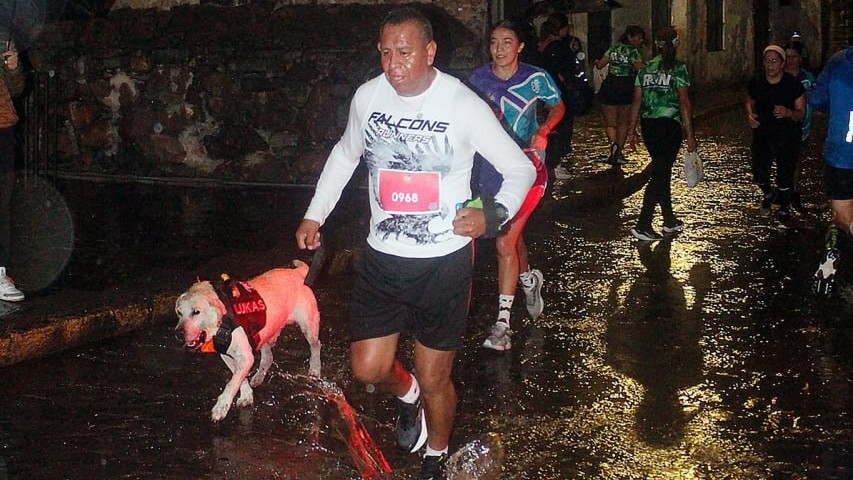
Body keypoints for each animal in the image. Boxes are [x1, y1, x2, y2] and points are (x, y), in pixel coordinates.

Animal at [175, 260, 322, 422]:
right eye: (179, 313)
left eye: (196, 312)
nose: (178, 335)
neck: (221, 320)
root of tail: (298, 273)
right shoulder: (228, 356)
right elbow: (240, 378)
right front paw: (246, 396)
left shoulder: (245, 357)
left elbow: (232, 383)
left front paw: (221, 406)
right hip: (265, 332)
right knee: (268, 357)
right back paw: (259, 376)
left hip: (308, 327)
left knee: (316, 346)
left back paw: (315, 369)